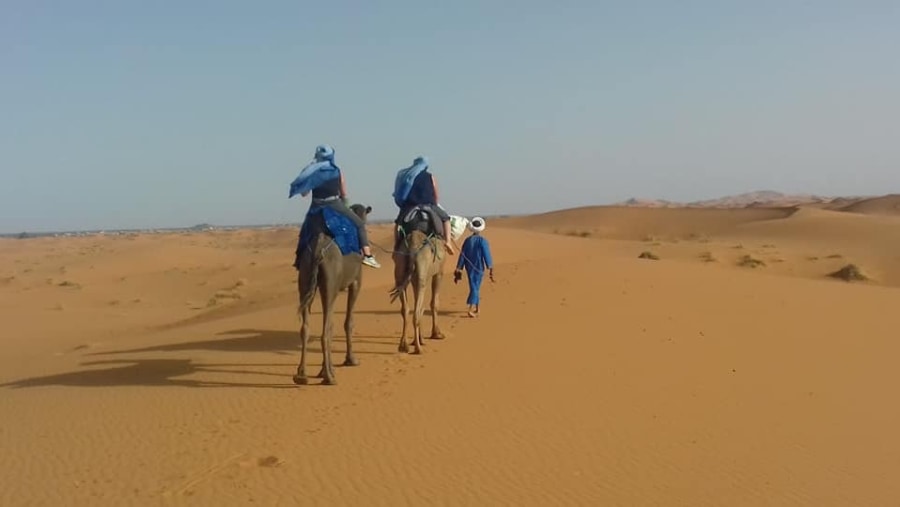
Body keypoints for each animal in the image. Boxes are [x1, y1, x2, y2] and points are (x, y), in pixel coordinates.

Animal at [290, 202, 370, 384]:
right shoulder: (356, 282)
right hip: (330, 284)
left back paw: (301, 374)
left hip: (305, 279)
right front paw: (351, 360)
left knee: (306, 328)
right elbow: (348, 322)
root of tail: (317, 250)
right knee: (325, 330)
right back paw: (328, 376)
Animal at [388, 210, 448, 358]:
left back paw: (403, 346)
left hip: (401, 269)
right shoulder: (439, 273)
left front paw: (420, 339)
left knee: (406, 309)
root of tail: (413, 243)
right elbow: (434, 303)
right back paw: (418, 349)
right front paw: (436, 334)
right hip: (422, 271)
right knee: (416, 311)